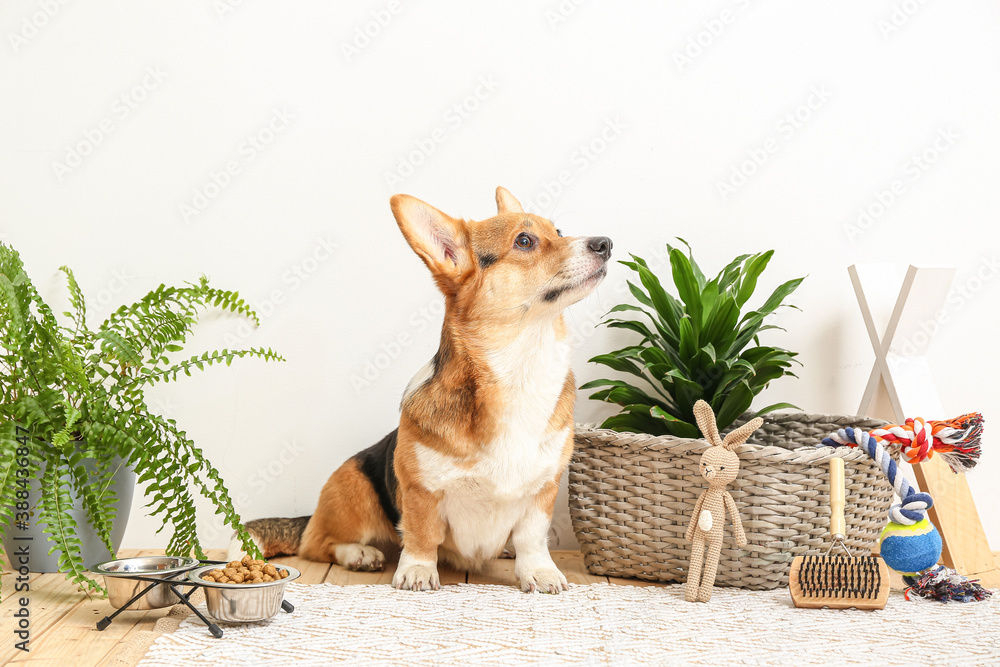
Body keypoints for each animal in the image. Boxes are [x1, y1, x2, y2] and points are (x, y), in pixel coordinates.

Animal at [232, 188, 608, 596]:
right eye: (524, 241)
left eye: (558, 231)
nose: (605, 243)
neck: (520, 369)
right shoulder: (421, 490)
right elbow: (422, 535)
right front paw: (417, 572)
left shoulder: (543, 490)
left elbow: (531, 538)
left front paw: (538, 572)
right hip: (357, 491)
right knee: (315, 543)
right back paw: (359, 554)